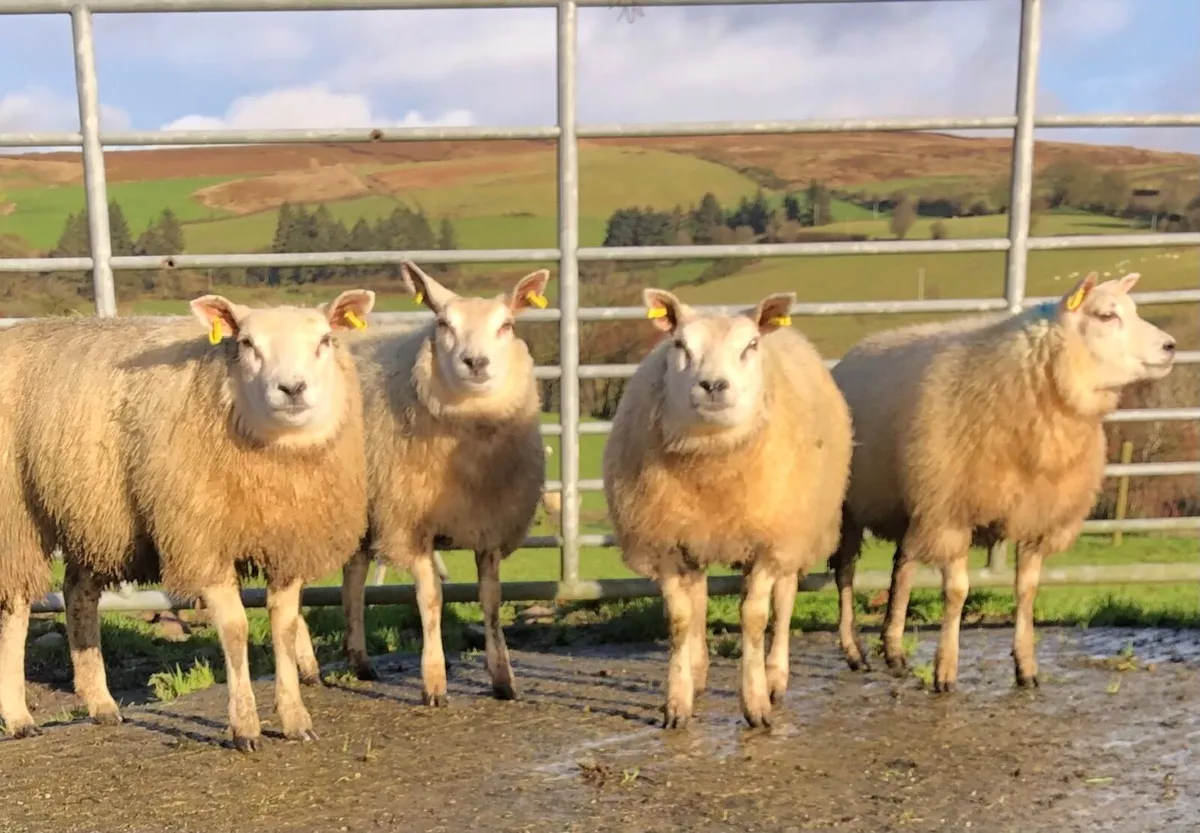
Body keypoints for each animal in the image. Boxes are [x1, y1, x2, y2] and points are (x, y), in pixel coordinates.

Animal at [0, 290, 376, 750]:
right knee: (17, 607)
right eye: (246, 343)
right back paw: (19, 717)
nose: (292, 389)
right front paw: (245, 726)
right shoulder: (201, 538)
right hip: (16, 513)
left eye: (325, 340)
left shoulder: (286, 544)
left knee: (78, 593)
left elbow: (284, 628)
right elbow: (234, 629)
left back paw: (101, 703)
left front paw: (294, 718)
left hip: (94, 515)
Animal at [337, 261, 550, 704]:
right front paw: (434, 682)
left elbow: (491, 601)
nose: (475, 362)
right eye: (442, 323)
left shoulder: (490, 526)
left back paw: (359, 660)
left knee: (354, 575)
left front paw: (503, 679)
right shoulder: (411, 523)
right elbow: (432, 599)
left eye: (506, 324)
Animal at [602, 288, 853, 729]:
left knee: (784, 600)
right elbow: (680, 618)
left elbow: (754, 617)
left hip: (794, 531)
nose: (714, 385)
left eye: (750, 345)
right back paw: (698, 671)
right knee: (700, 596)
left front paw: (756, 703)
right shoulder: (665, 540)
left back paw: (775, 676)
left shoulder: (769, 542)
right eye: (680, 345)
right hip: (699, 535)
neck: (713, 466)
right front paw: (677, 702)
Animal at [828, 272, 1176, 691]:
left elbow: (1027, 590)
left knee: (903, 566)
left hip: (913, 505)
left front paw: (1026, 667)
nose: (1171, 347)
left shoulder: (1035, 516)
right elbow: (957, 592)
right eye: (1106, 315)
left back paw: (893, 651)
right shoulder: (953, 511)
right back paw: (854, 652)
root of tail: (851, 356)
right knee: (846, 572)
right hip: (851, 506)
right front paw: (945, 671)